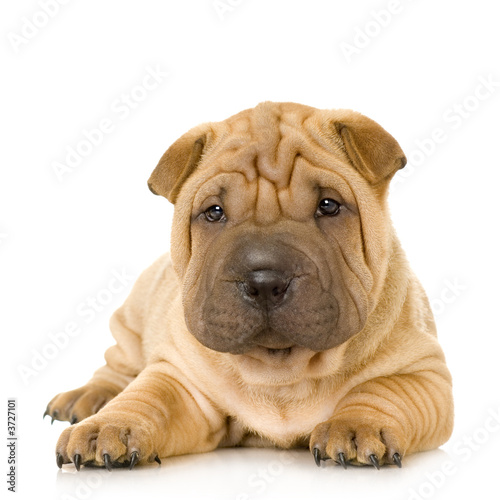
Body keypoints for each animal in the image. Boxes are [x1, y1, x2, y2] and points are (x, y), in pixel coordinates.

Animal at [46, 100, 454, 468]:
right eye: (214, 212)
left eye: (329, 205)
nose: (264, 281)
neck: (281, 370)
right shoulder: (181, 378)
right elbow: (148, 398)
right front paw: (108, 426)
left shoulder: (423, 373)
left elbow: (381, 391)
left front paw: (356, 426)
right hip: (130, 323)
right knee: (115, 369)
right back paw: (85, 398)